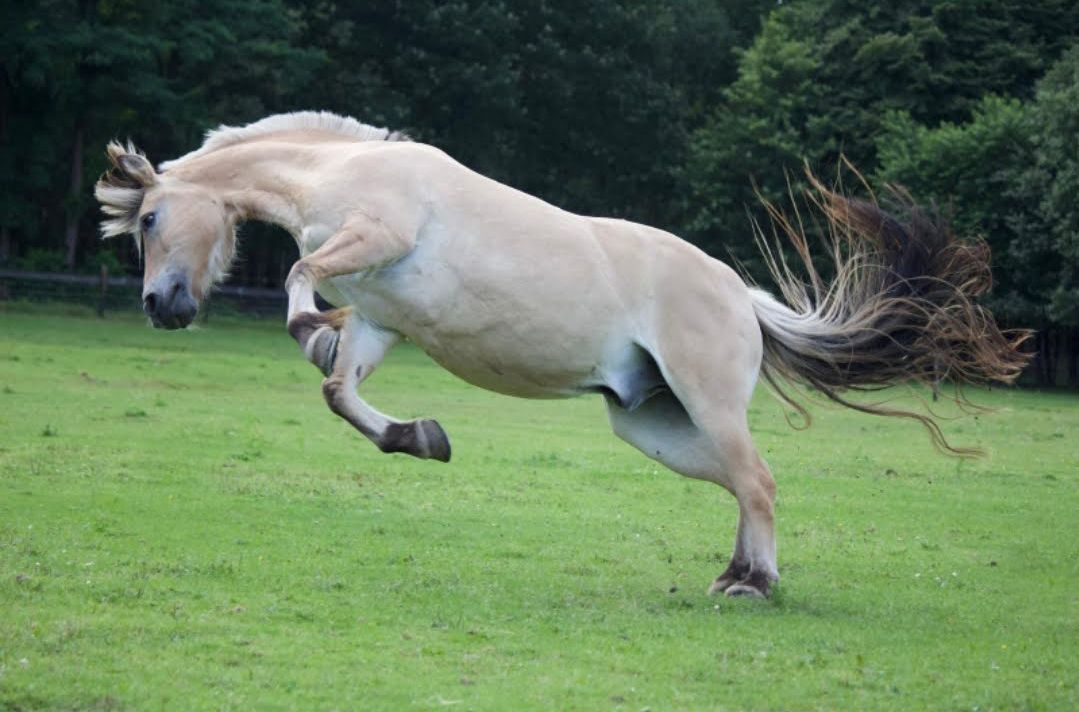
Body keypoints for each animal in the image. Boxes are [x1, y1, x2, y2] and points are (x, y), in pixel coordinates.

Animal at [95, 111, 1028, 598]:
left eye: (151, 220)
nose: (161, 309)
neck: (344, 170)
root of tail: (743, 298)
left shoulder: (373, 240)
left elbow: (299, 282)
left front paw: (308, 328)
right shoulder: (384, 322)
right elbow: (340, 393)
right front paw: (421, 437)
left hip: (706, 402)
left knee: (759, 481)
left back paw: (753, 587)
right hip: (651, 424)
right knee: (740, 485)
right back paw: (733, 572)